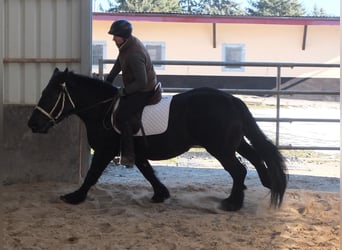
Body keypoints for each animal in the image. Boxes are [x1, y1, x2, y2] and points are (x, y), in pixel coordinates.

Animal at [28, 68, 288, 211]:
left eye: (49, 95)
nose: (33, 124)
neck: (103, 109)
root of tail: (233, 100)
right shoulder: (136, 151)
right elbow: (148, 171)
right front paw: (160, 194)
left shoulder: (105, 150)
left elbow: (92, 175)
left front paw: (75, 197)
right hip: (233, 143)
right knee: (255, 160)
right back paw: (263, 186)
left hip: (220, 148)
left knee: (239, 170)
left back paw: (232, 203)